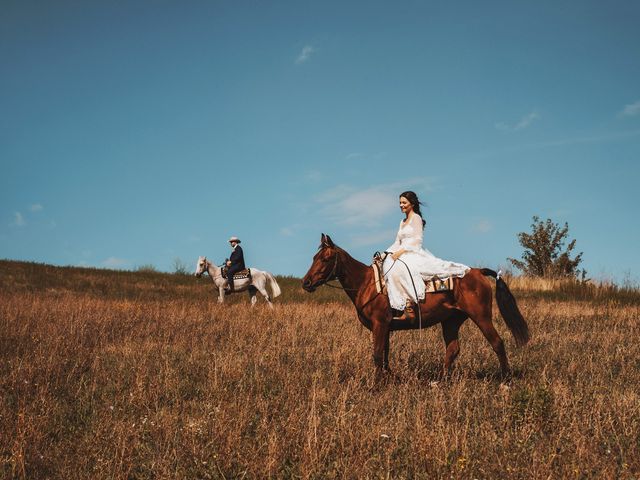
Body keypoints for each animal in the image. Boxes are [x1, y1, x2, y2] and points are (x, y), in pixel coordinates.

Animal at [302, 235, 528, 378]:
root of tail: (479, 272)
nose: (306, 282)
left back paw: (505, 380)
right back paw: (440, 380)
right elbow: (385, 355)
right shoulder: (385, 327)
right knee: (453, 348)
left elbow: (377, 355)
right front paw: (389, 378)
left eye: (326, 258)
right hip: (451, 321)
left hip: (481, 316)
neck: (366, 284)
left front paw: (376, 385)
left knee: (497, 342)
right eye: (314, 257)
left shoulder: (379, 324)